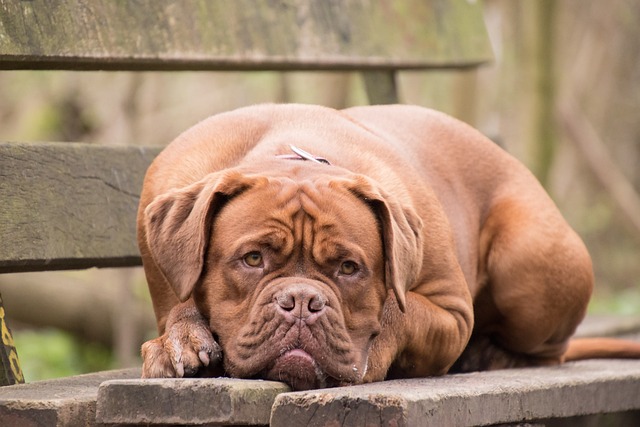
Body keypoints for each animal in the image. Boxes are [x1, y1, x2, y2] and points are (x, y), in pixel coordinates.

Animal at [138, 103, 640, 392]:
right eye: (253, 259)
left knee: (549, 346)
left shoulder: (451, 311)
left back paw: (491, 355)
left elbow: (399, 311)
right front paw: (179, 339)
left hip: (530, 269)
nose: (301, 301)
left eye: (348, 268)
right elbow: (180, 301)